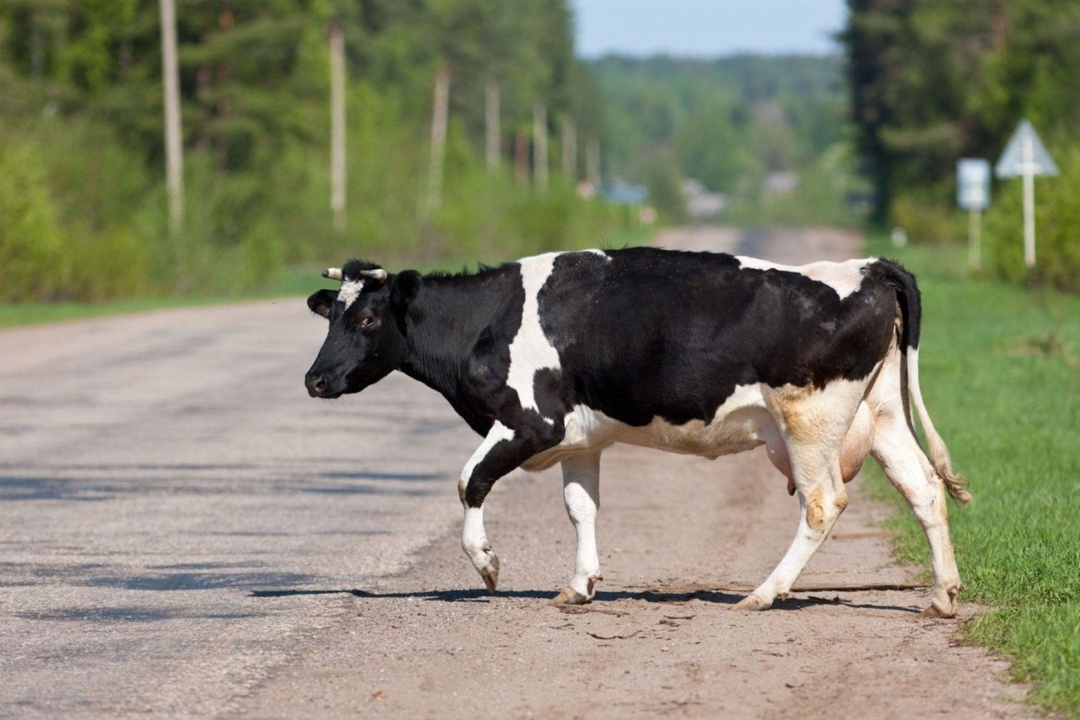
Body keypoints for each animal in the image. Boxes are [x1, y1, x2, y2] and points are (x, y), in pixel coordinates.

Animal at [304, 249, 972, 621]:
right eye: (331, 314)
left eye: (367, 318)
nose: (314, 379)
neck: (490, 321)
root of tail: (867, 267)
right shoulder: (579, 438)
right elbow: (581, 508)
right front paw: (579, 586)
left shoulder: (531, 421)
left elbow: (470, 481)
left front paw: (488, 565)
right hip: (880, 416)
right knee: (924, 489)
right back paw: (943, 596)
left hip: (810, 422)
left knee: (822, 502)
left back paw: (763, 593)